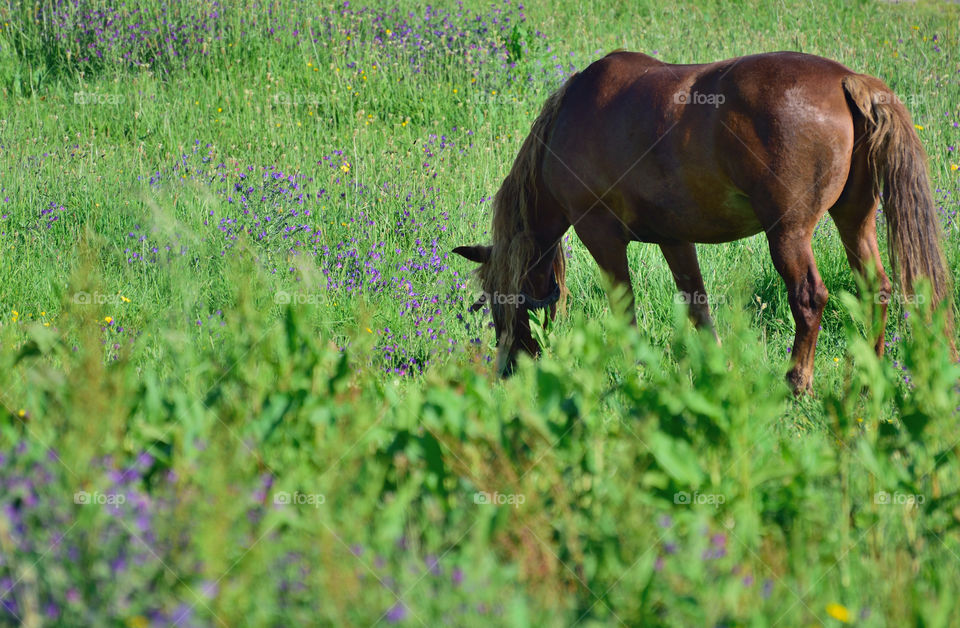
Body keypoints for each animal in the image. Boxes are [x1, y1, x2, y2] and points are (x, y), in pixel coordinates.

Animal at [454, 50, 948, 392]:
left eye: (496, 300)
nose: (508, 370)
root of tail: (848, 81)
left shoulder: (600, 234)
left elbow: (625, 309)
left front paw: (635, 370)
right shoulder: (675, 239)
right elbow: (698, 306)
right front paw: (715, 369)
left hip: (788, 233)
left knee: (809, 298)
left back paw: (796, 382)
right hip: (854, 218)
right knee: (877, 289)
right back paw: (870, 375)